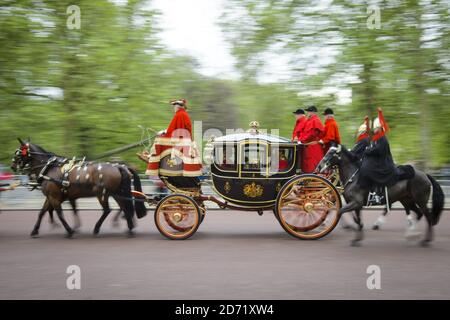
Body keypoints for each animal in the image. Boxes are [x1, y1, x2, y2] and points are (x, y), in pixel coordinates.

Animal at [11, 139, 146, 236]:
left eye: (19, 152)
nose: (12, 166)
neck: (49, 168)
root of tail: (119, 166)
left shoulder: (54, 197)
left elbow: (59, 213)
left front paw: (70, 230)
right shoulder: (53, 196)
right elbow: (42, 212)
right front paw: (35, 230)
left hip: (102, 194)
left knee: (108, 210)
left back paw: (97, 228)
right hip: (115, 192)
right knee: (124, 207)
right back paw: (129, 227)